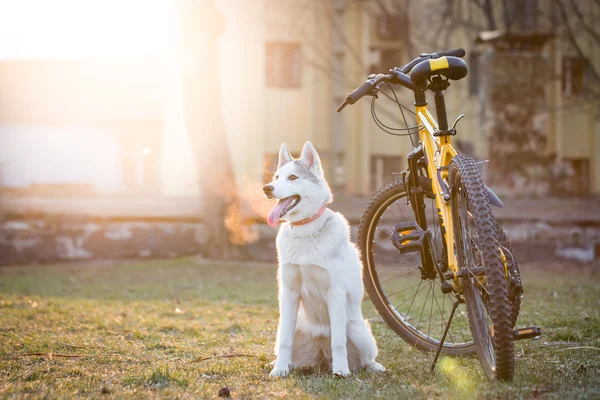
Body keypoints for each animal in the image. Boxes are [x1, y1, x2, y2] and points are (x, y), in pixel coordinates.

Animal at [262, 141, 384, 378]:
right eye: (276, 177)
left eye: (293, 177)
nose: (267, 188)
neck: (305, 231)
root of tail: (322, 355)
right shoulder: (289, 294)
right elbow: (285, 341)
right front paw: (279, 369)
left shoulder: (335, 293)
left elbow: (338, 342)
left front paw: (341, 371)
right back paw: (281, 364)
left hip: (358, 331)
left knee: (365, 358)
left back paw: (371, 366)